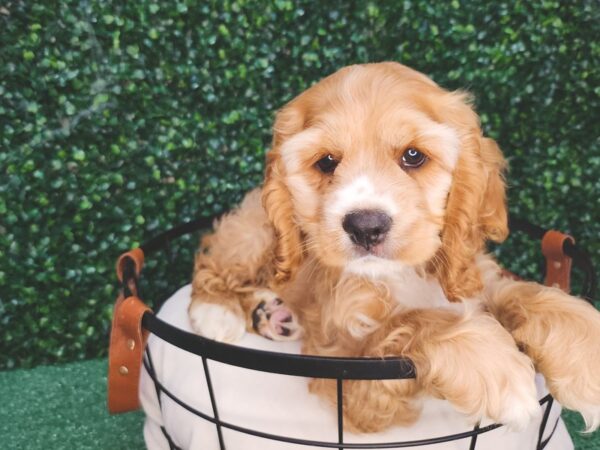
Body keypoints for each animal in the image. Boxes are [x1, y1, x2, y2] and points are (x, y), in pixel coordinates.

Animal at [189, 62, 600, 432]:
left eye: (413, 156)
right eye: (326, 162)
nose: (365, 226)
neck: (402, 273)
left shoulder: (476, 278)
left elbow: (528, 295)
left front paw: (587, 354)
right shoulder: (342, 374)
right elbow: (410, 323)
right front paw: (495, 367)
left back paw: (272, 314)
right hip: (253, 234)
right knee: (212, 263)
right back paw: (217, 313)